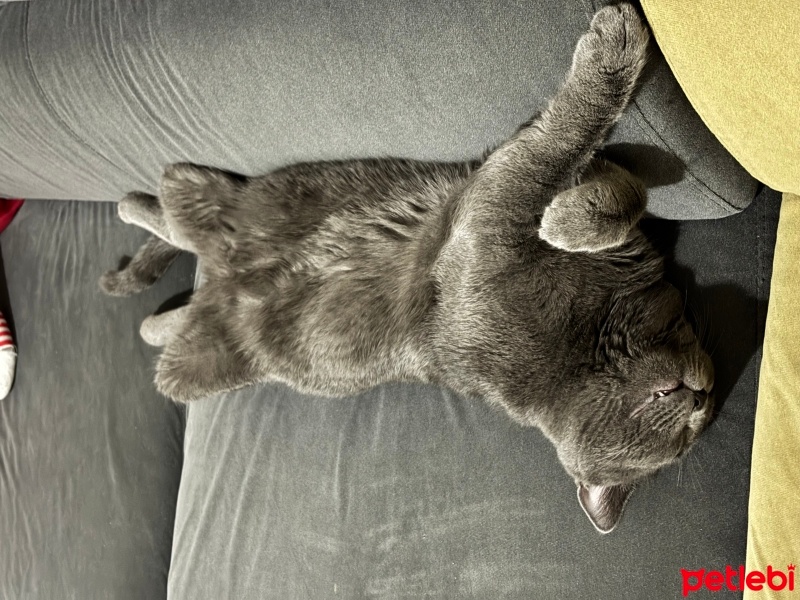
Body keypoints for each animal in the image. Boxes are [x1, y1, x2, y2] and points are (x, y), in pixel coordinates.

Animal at [100, 3, 712, 528]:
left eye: (687, 435)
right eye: (675, 422)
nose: (701, 401)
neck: (586, 346)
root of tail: (219, 283)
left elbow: (614, 182)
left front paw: (568, 218)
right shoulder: (502, 202)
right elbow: (577, 154)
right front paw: (615, 48)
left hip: (199, 365)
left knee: (164, 304)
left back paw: (141, 296)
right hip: (231, 197)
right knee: (168, 209)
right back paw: (127, 247)